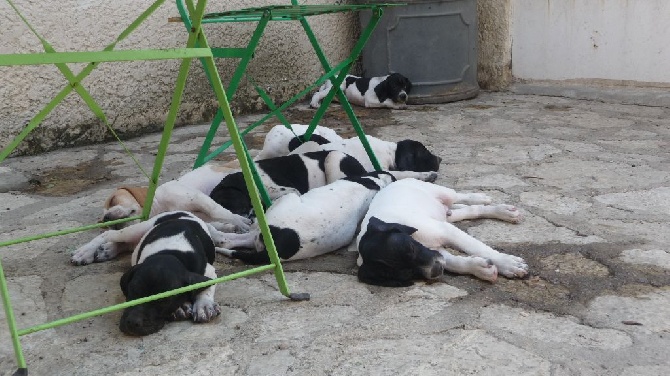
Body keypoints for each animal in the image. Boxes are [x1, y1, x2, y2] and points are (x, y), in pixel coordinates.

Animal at [71, 210, 228, 336]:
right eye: (132, 290)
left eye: (164, 300)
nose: (133, 322)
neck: (171, 253)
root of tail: (181, 212)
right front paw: (183, 306)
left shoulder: (208, 270)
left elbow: (206, 285)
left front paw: (204, 305)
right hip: (137, 229)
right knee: (109, 234)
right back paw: (85, 252)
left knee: (126, 244)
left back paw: (108, 250)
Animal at [356, 179, 532, 288]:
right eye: (406, 274)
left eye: (410, 249)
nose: (435, 271)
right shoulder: (436, 252)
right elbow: (454, 262)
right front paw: (480, 268)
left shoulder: (446, 232)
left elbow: (478, 247)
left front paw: (507, 263)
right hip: (447, 214)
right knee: (469, 210)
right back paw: (501, 211)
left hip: (443, 193)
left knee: (460, 197)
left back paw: (481, 198)